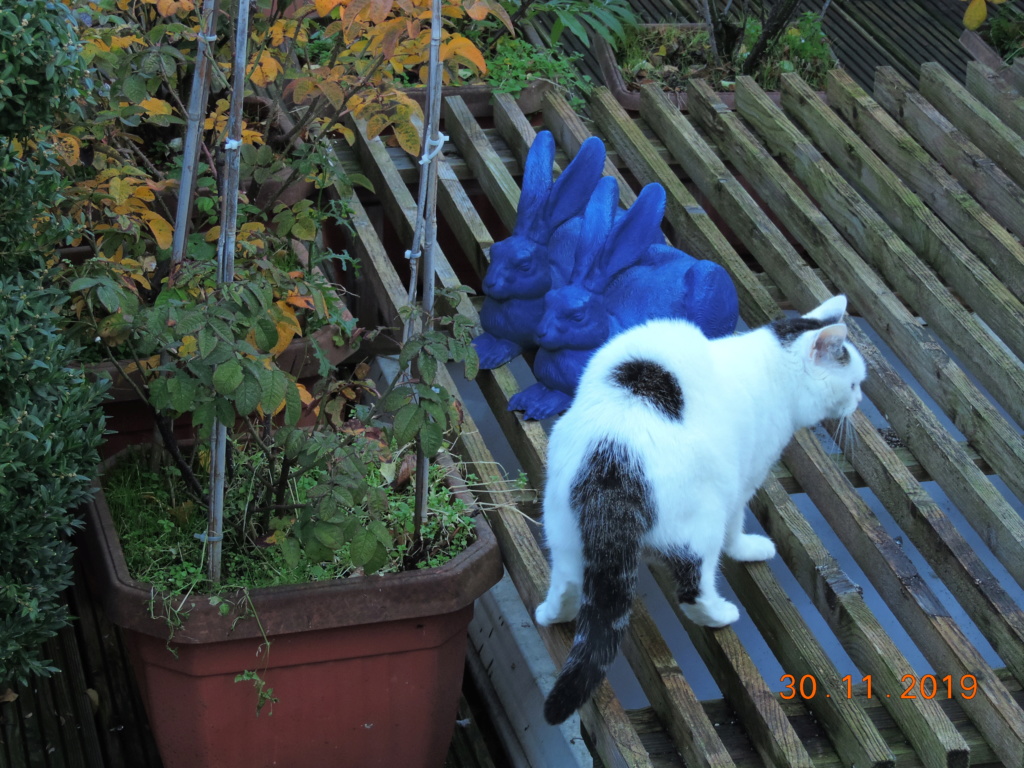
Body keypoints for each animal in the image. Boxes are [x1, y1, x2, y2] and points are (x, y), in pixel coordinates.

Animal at [536, 294, 864, 729]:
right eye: (854, 383)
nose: (859, 401)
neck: (773, 367)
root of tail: (614, 455)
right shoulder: (745, 478)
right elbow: (736, 526)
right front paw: (748, 549)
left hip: (562, 526)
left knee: (567, 582)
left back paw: (552, 614)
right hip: (703, 518)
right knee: (693, 588)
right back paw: (719, 613)